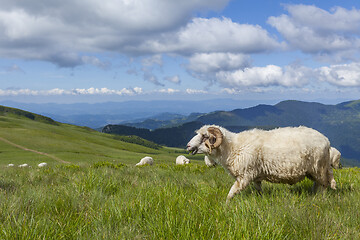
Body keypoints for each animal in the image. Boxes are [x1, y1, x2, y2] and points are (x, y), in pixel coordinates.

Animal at [187, 125, 334, 202]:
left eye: (205, 137)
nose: (188, 146)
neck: (233, 147)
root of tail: (326, 140)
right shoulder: (255, 176)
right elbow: (258, 190)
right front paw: (262, 200)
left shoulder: (245, 176)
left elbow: (231, 192)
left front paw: (226, 205)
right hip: (313, 171)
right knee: (317, 184)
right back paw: (314, 195)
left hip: (319, 167)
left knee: (324, 184)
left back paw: (321, 198)